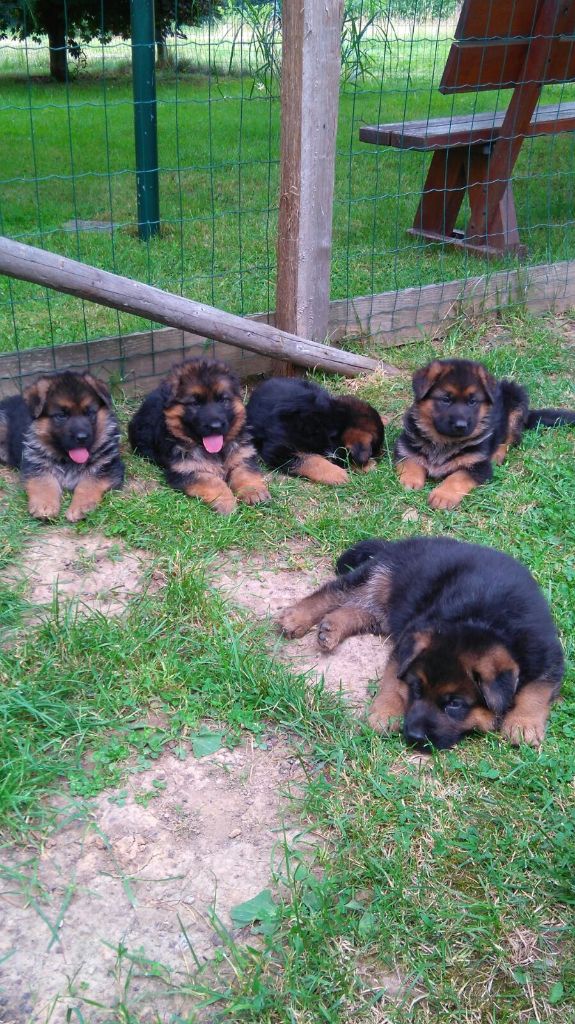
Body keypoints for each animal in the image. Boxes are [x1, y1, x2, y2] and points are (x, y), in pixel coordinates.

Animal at [127, 362, 268, 520]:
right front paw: (227, 503)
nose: (215, 426)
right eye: (195, 403)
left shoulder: (243, 456)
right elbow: (213, 482)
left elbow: (244, 472)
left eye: (223, 400)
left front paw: (253, 492)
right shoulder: (185, 471)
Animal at [276, 536, 560, 753]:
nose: (413, 737)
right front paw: (384, 712)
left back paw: (331, 629)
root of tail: (400, 543)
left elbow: (537, 689)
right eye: (416, 689)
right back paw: (296, 617)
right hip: (379, 576)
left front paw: (523, 724)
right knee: (334, 591)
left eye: (454, 704)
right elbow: (392, 681)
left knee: (357, 611)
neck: (485, 621)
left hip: (386, 609)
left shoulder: (548, 654)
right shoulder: (405, 644)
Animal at [392, 358, 572, 509]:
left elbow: (458, 477)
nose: (461, 425)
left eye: (472, 402)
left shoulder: (478, 466)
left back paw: (497, 455)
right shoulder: (405, 447)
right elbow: (411, 461)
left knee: (511, 439)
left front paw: (443, 495)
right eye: (446, 399)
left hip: (516, 402)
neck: (444, 441)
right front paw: (411, 480)